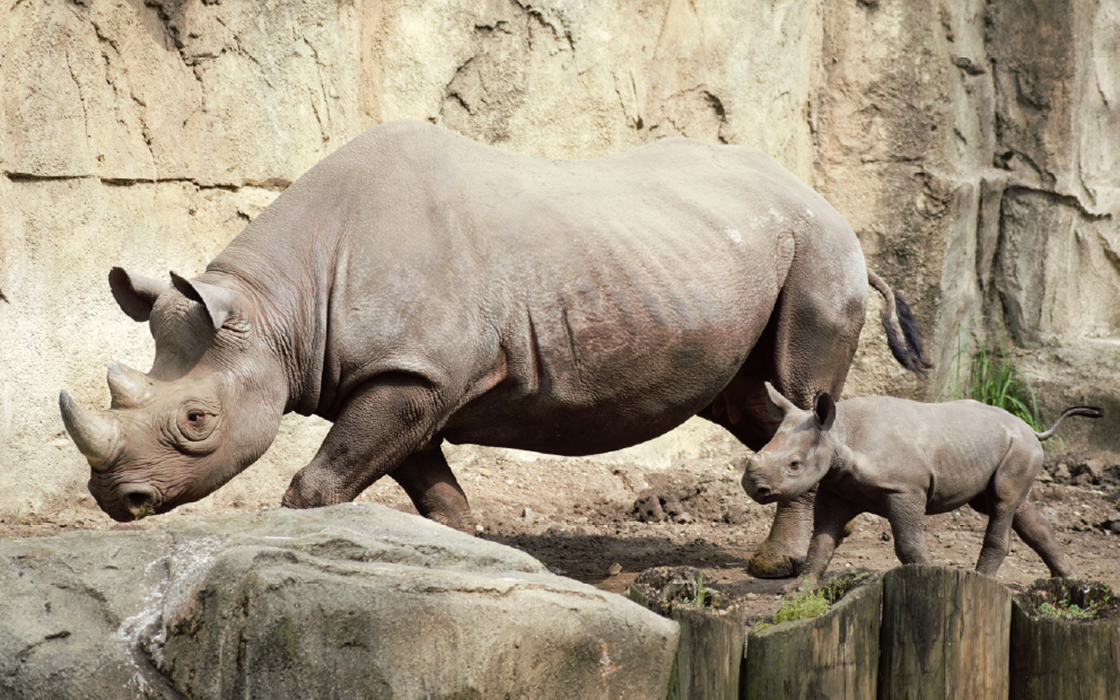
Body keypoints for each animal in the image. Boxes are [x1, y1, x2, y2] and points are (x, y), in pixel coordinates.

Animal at [59, 120, 928, 577]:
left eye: (197, 422)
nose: (117, 500)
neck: (281, 308)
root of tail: (835, 211)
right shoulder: (409, 375)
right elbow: (428, 485)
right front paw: (460, 556)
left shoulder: (416, 371)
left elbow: (323, 479)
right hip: (732, 254)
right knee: (754, 404)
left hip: (818, 256)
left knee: (799, 392)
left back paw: (774, 572)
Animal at [743, 382, 1102, 589]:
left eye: (794, 465)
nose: (752, 488)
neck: (839, 433)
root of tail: (1030, 428)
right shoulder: (837, 487)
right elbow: (821, 540)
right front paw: (798, 589)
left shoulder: (904, 488)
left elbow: (908, 543)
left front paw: (932, 576)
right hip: (1005, 446)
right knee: (1016, 507)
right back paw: (1070, 579)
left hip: (1020, 448)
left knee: (1003, 502)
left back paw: (981, 582)